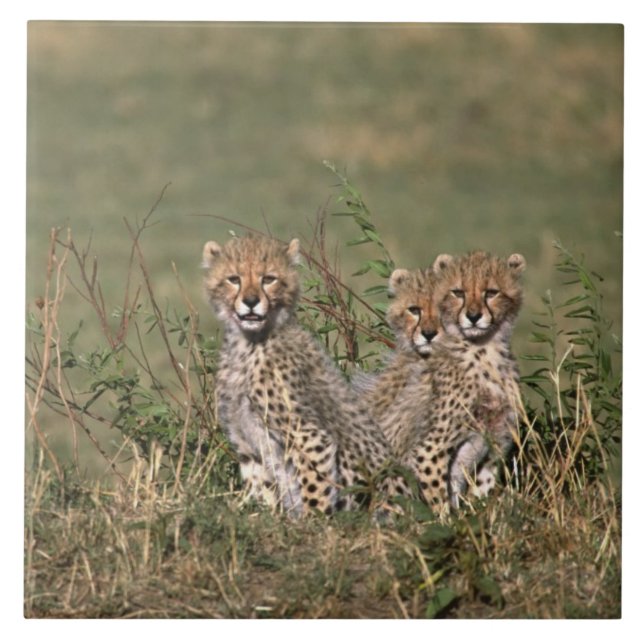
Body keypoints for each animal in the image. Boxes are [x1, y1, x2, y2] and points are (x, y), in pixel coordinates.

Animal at [202, 235, 411, 516]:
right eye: (234, 279)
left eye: (268, 279)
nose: (250, 301)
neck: (248, 343)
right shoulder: (246, 445)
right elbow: (262, 488)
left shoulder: (310, 436)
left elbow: (315, 488)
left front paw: (315, 522)